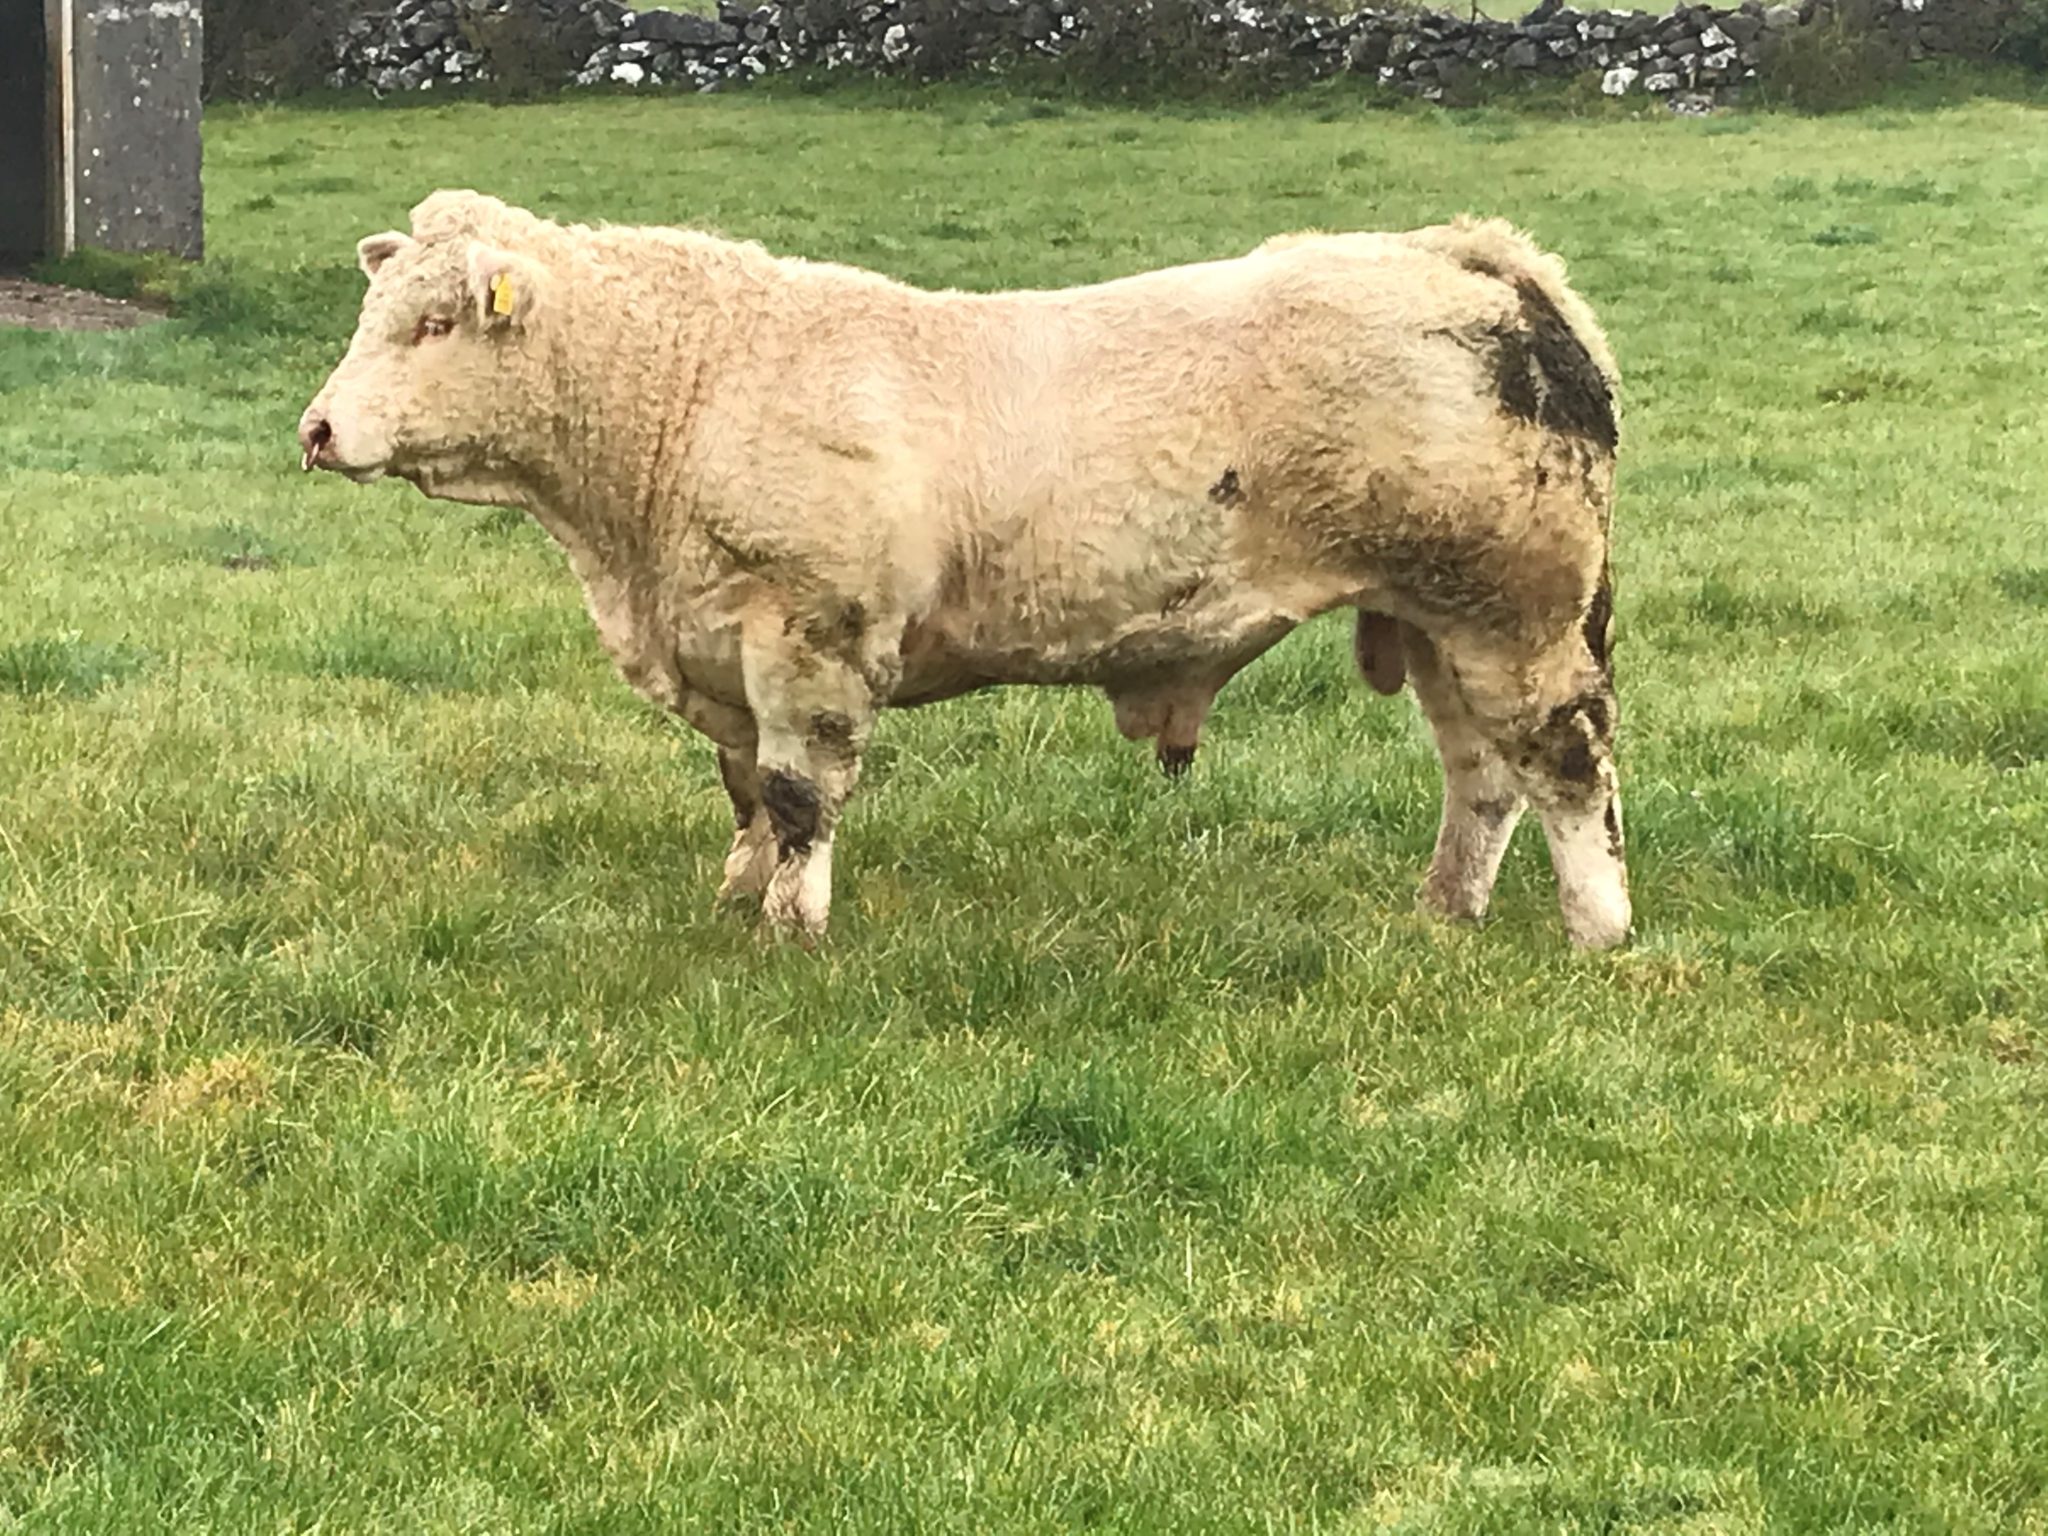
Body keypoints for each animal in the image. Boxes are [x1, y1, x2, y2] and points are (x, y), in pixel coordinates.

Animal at [299, 190, 1629, 948]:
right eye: (374, 311)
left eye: (432, 323)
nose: (316, 429)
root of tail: (1471, 257)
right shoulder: (723, 648)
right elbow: (743, 788)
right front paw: (737, 895)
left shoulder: (811, 635)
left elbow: (799, 791)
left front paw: (792, 928)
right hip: (1436, 620)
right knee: (1480, 776)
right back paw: (1444, 911)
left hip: (1514, 615)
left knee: (1566, 764)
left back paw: (1595, 933)